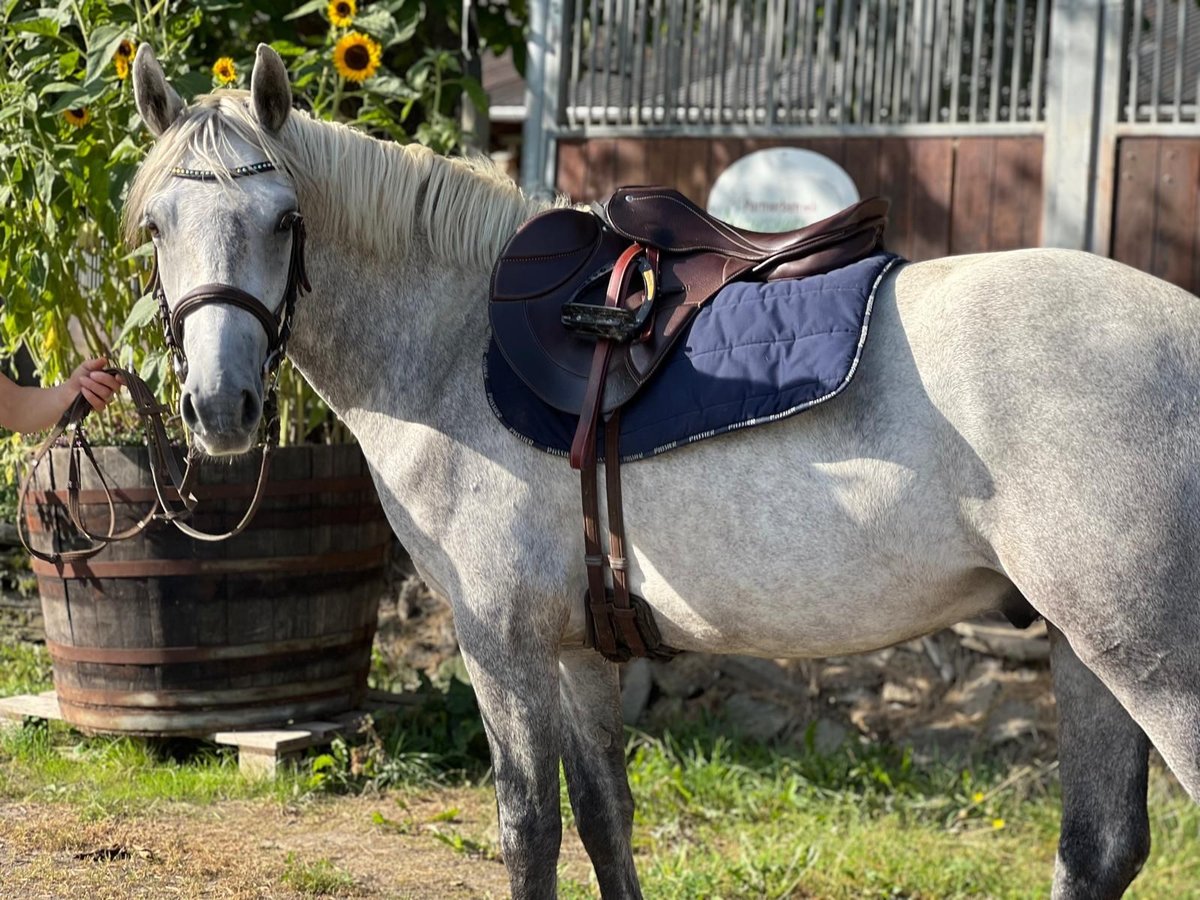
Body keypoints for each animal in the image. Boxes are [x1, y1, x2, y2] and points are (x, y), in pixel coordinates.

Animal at [126, 44, 1195, 900]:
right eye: (156, 227)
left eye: (283, 219)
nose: (221, 409)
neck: (456, 344)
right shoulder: (579, 649)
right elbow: (607, 820)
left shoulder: (501, 642)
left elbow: (530, 832)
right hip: (1084, 652)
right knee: (1098, 847)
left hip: (1153, 666)